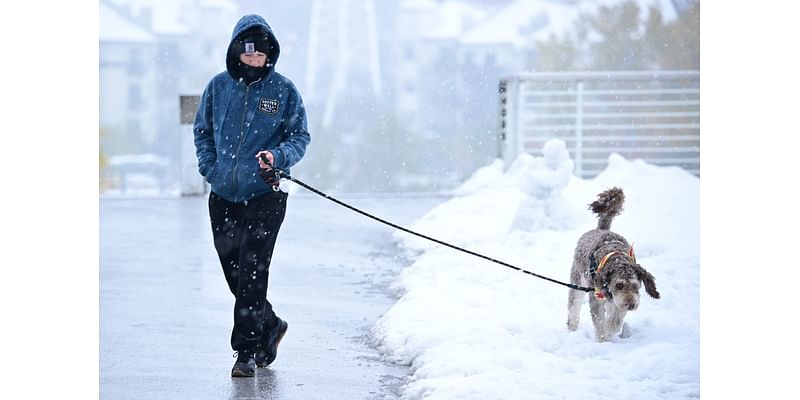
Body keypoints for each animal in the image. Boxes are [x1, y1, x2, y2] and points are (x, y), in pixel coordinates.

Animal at [564, 188, 660, 340]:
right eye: (619, 285)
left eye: (635, 286)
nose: (631, 305)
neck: (616, 257)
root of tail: (601, 229)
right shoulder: (597, 297)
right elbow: (599, 321)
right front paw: (603, 340)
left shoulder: (617, 301)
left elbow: (615, 320)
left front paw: (610, 331)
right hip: (577, 281)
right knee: (574, 306)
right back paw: (572, 328)